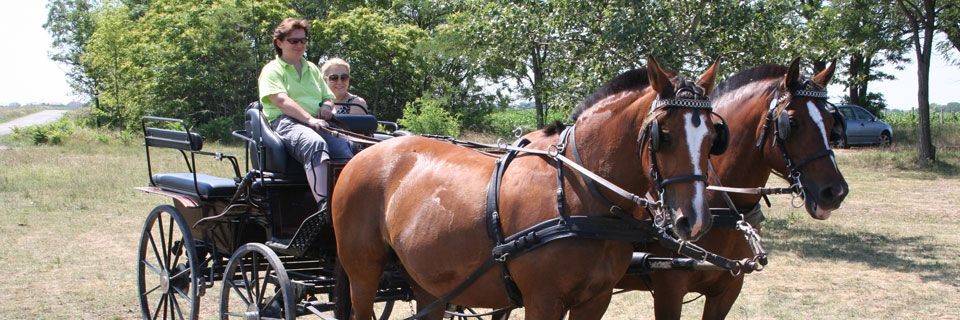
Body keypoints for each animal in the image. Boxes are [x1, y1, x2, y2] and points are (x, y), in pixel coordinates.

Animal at [334, 57, 724, 320]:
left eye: (712, 138)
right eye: (664, 136)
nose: (693, 220)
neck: (580, 193)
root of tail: (364, 153)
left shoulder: (596, 300)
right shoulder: (543, 300)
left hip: (427, 280)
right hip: (362, 272)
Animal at [616, 58, 848, 320]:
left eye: (831, 122)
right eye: (792, 123)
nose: (835, 192)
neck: (721, 209)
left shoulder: (727, 289)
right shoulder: (669, 290)